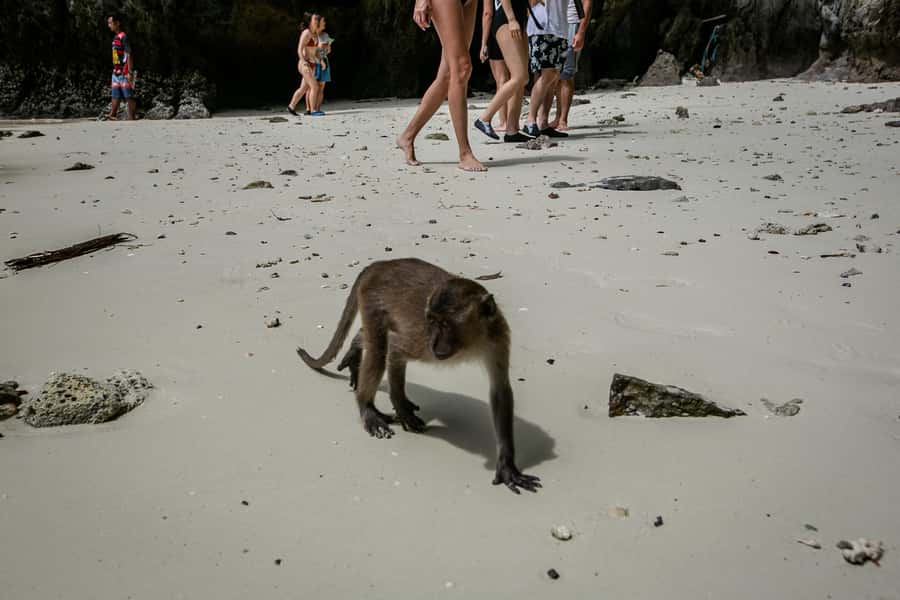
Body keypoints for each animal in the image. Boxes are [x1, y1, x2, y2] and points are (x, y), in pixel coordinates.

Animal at [297, 258, 540, 494]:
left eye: (445, 324)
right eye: (431, 321)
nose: (435, 343)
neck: (470, 342)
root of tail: (381, 264)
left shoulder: (497, 336)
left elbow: (500, 391)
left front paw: (507, 465)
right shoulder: (422, 341)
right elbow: (394, 349)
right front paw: (401, 410)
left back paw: (356, 349)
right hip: (373, 299)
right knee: (379, 349)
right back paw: (367, 407)